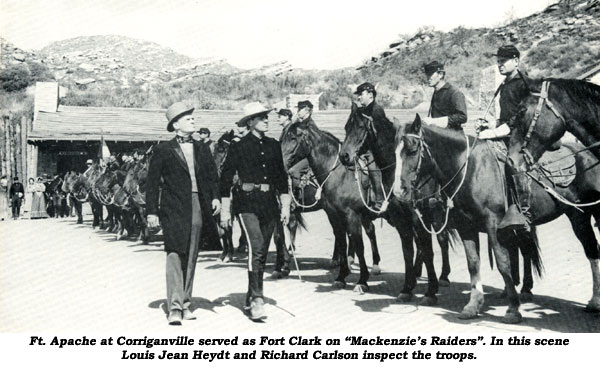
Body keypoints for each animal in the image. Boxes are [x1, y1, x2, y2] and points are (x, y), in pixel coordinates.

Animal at [282, 119, 390, 294]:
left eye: (293, 138)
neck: (340, 174)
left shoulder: (351, 214)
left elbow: (358, 245)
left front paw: (362, 281)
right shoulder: (334, 214)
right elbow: (341, 240)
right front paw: (341, 276)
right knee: (370, 231)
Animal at [340, 103, 452, 304]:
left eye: (360, 127)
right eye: (346, 127)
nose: (344, 156)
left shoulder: (418, 217)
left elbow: (428, 251)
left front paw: (430, 292)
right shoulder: (401, 219)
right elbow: (407, 251)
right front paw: (407, 288)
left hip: (438, 214)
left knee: (442, 239)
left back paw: (444, 276)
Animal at [394, 114, 600, 322]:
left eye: (412, 149)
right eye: (395, 152)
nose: (398, 191)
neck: (471, 169)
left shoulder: (493, 224)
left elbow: (503, 263)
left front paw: (513, 309)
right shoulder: (466, 226)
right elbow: (473, 263)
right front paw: (473, 305)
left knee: (590, 249)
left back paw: (594, 301)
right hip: (578, 215)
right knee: (591, 249)